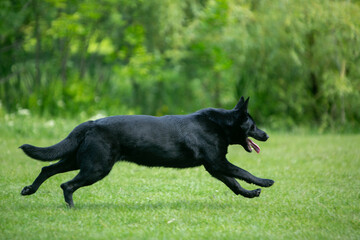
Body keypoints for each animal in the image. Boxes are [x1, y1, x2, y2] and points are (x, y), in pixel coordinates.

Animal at [19, 96, 272, 207]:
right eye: (253, 125)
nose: (267, 135)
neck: (220, 124)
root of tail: (91, 124)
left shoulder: (215, 167)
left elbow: (235, 183)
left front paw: (251, 194)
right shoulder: (218, 163)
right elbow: (244, 173)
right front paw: (266, 182)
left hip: (78, 161)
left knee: (47, 168)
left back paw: (29, 190)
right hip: (96, 168)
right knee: (67, 185)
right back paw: (71, 207)